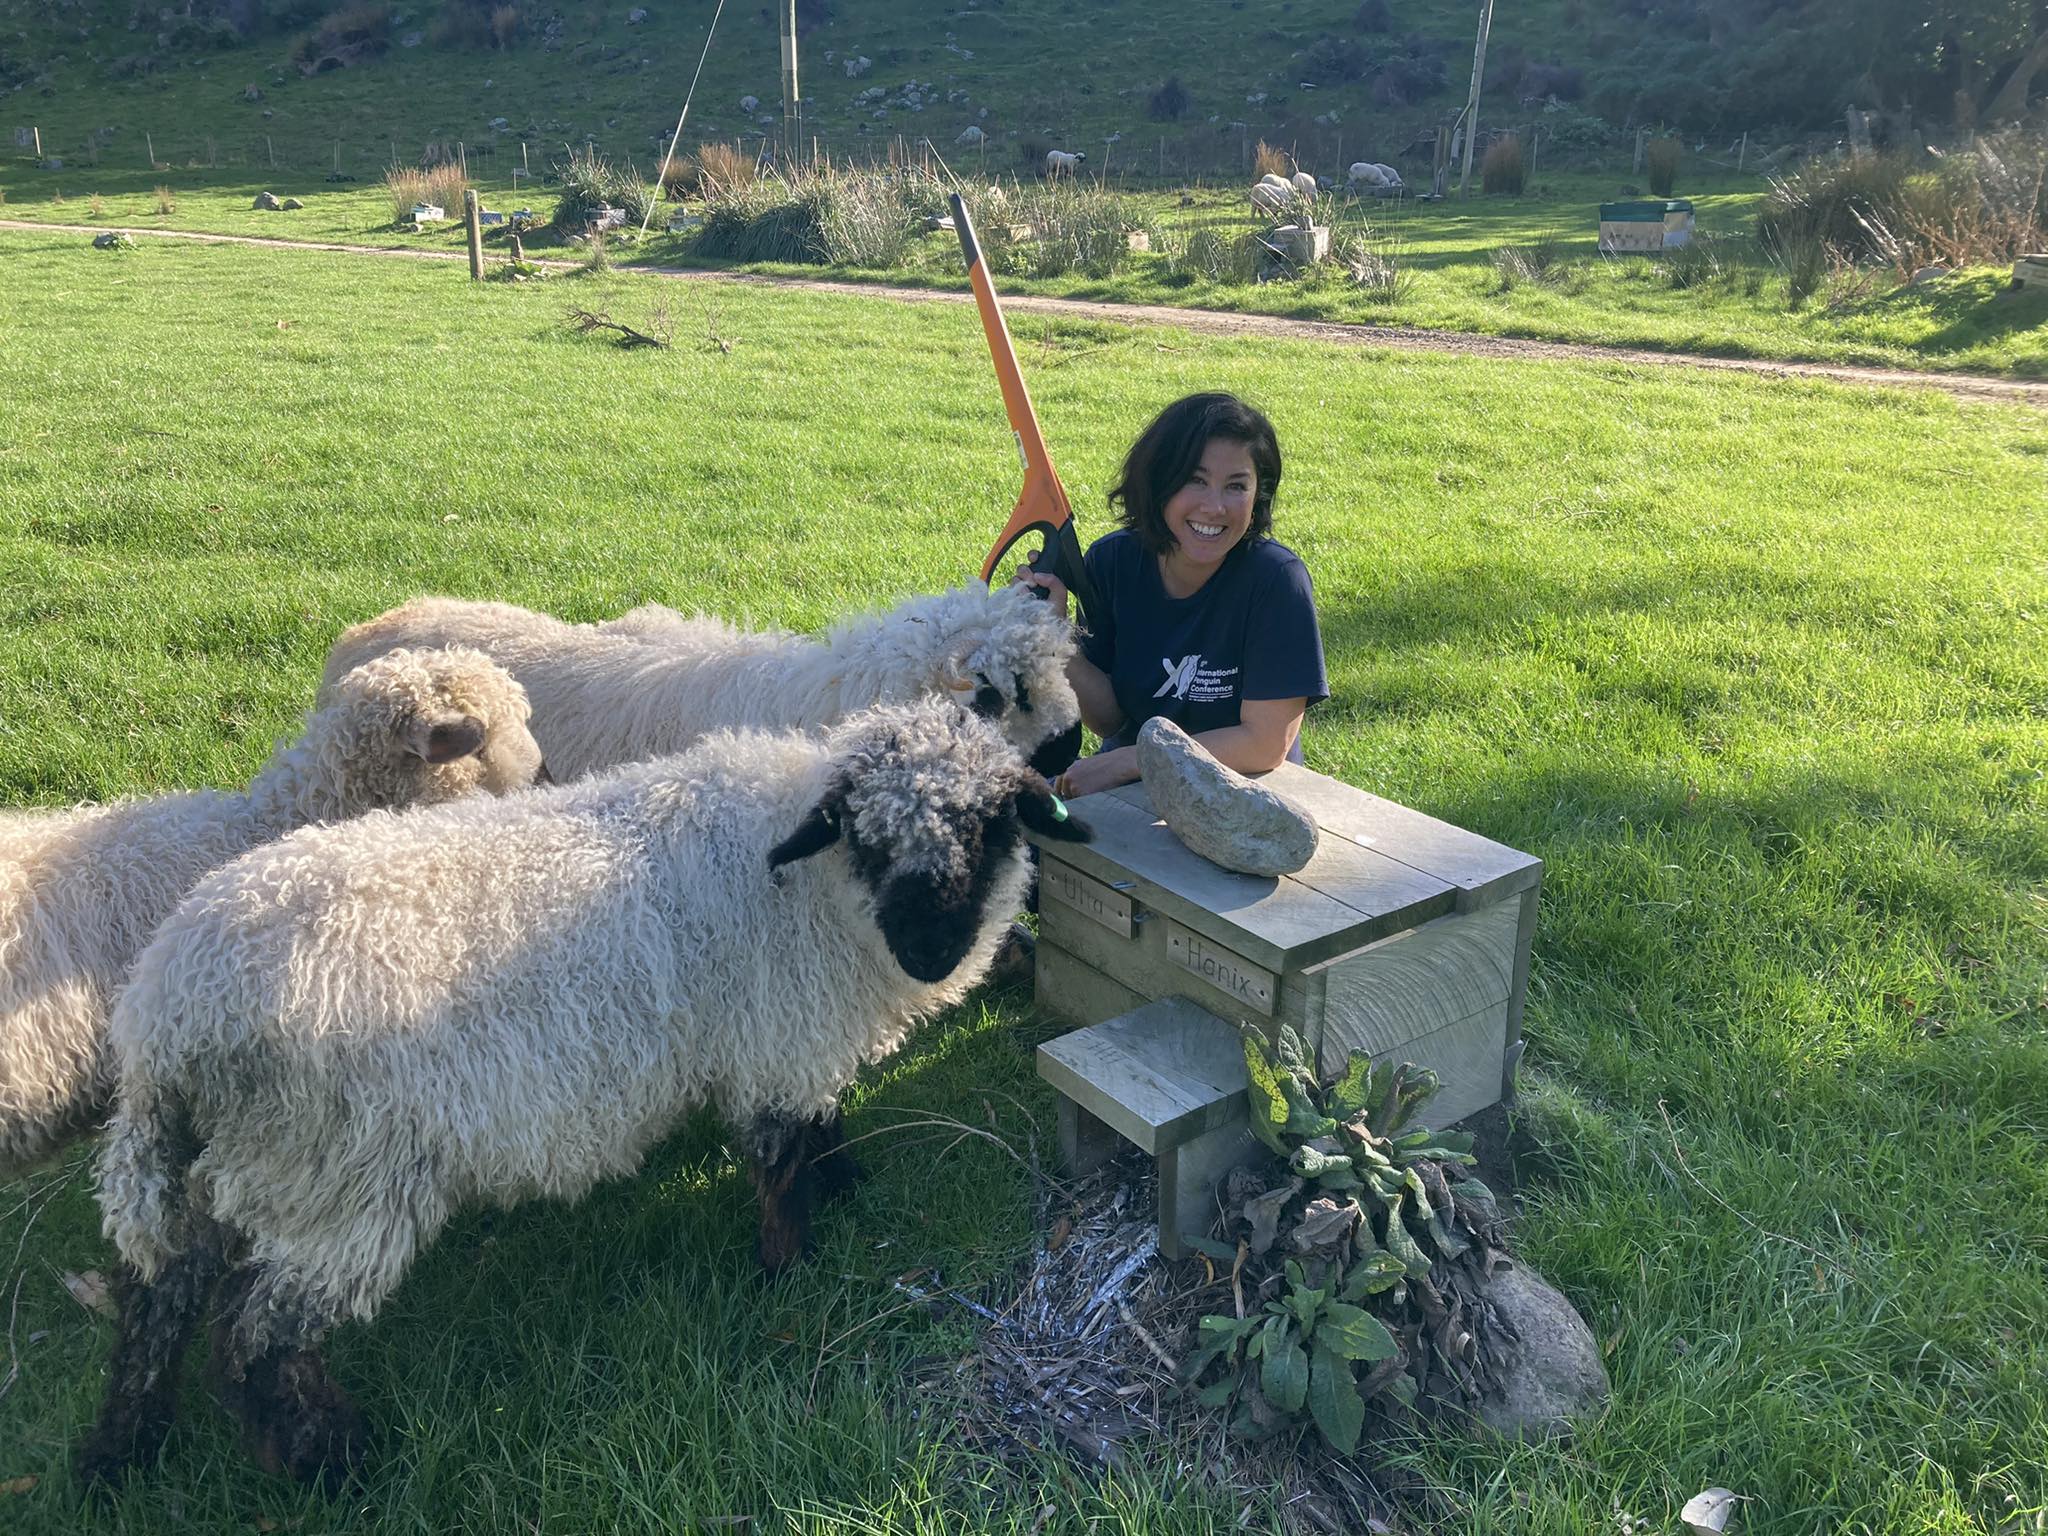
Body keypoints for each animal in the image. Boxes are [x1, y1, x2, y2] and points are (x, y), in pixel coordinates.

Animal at [79, 696, 1089, 1490]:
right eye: (870, 842)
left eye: (993, 827)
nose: (932, 952)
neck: (808, 886)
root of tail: (166, 1016)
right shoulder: (773, 1035)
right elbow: (779, 1159)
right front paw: (789, 1267)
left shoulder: (796, 1043)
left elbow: (818, 1125)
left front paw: (845, 1188)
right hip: (335, 1182)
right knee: (256, 1341)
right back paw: (335, 1462)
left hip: (238, 1173)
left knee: (154, 1301)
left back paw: (121, 1454)